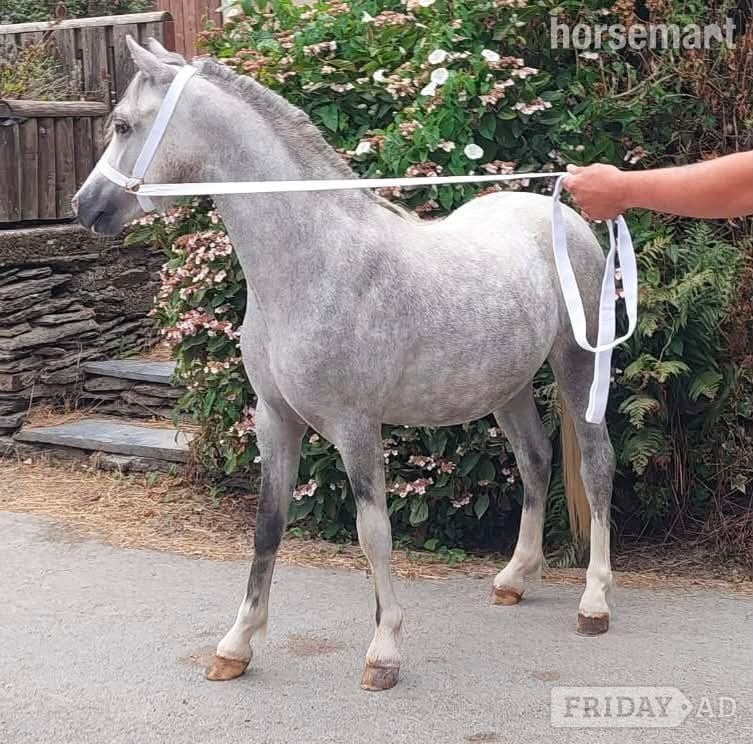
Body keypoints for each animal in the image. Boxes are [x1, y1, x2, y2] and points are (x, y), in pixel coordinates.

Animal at [73, 37, 616, 692]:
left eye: (124, 125)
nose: (84, 206)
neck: (316, 265)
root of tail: (565, 217)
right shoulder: (274, 420)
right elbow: (268, 525)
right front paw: (236, 646)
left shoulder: (355, 426)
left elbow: (373, 530)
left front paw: (383, 652)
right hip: (505, 388)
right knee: (535, 461)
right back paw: (514, 578)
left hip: (578, 367)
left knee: (597, 466)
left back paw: (595, 602)